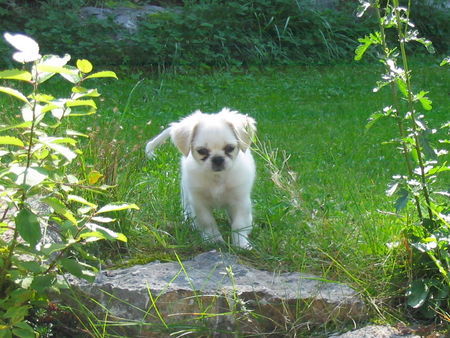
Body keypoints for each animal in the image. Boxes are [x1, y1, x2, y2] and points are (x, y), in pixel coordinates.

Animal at [145, 107, 256, 248]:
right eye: (202, 151)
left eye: (230, 148)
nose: (217, 159)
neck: (217, 179)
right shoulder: (199, 202)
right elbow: (208, 222)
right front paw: (214, 240)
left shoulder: (240, 201)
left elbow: (239, 224)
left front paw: (241, 244)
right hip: (186, 192)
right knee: (186, 208)